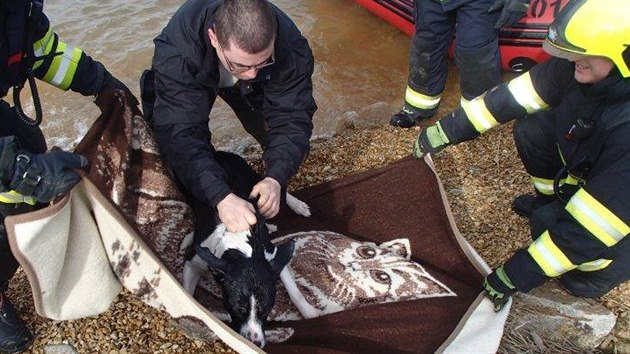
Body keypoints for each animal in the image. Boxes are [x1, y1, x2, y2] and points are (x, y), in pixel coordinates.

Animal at [183, 151, 316, 348]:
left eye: (267, 309)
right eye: (238, 308)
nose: (256, 342)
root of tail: (217, 152)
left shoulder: (272, 256)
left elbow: (294, 292)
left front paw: (308, 311)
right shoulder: (192, 261)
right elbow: (188, 294)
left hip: (254, 183)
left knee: (275, 187)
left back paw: (296, 206)